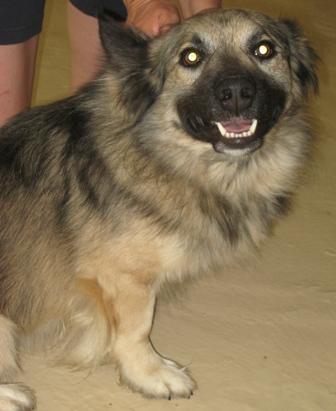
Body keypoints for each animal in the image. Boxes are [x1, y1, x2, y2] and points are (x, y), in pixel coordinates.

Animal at [0, 8, 318, 410]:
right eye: (191, 57)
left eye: (264, 49)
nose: (236, 95)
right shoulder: (124, 277)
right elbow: (136, 329)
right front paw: (149, 374)